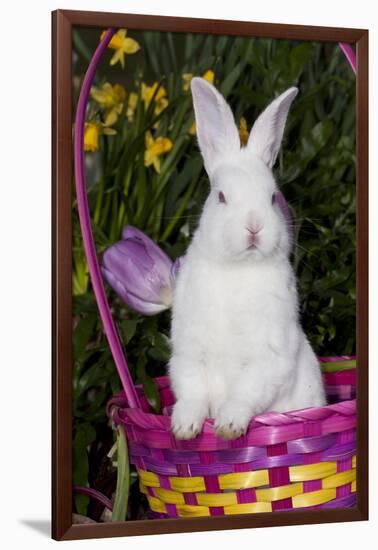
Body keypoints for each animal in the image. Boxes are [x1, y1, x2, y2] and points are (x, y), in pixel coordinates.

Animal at [170, 77, 326, 442]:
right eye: (221, 197)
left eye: (271, 197)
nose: (254, 226)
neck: (238, 268)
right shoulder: (188, 352)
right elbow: (192, 391)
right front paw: (183, 428)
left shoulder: (268, 355)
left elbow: (245, 393)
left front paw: (228, 427)